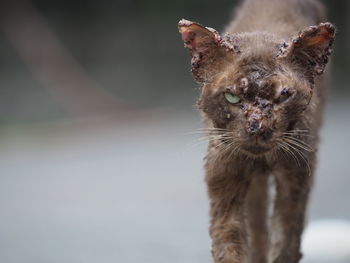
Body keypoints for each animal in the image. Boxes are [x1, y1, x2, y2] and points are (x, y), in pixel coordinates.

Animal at [179, 0, 334, 263]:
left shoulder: (296, 175)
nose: (257, 127)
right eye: (232, 97)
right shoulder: (225, 174)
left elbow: (286, 240)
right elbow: (228, 240)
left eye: (283, 96)